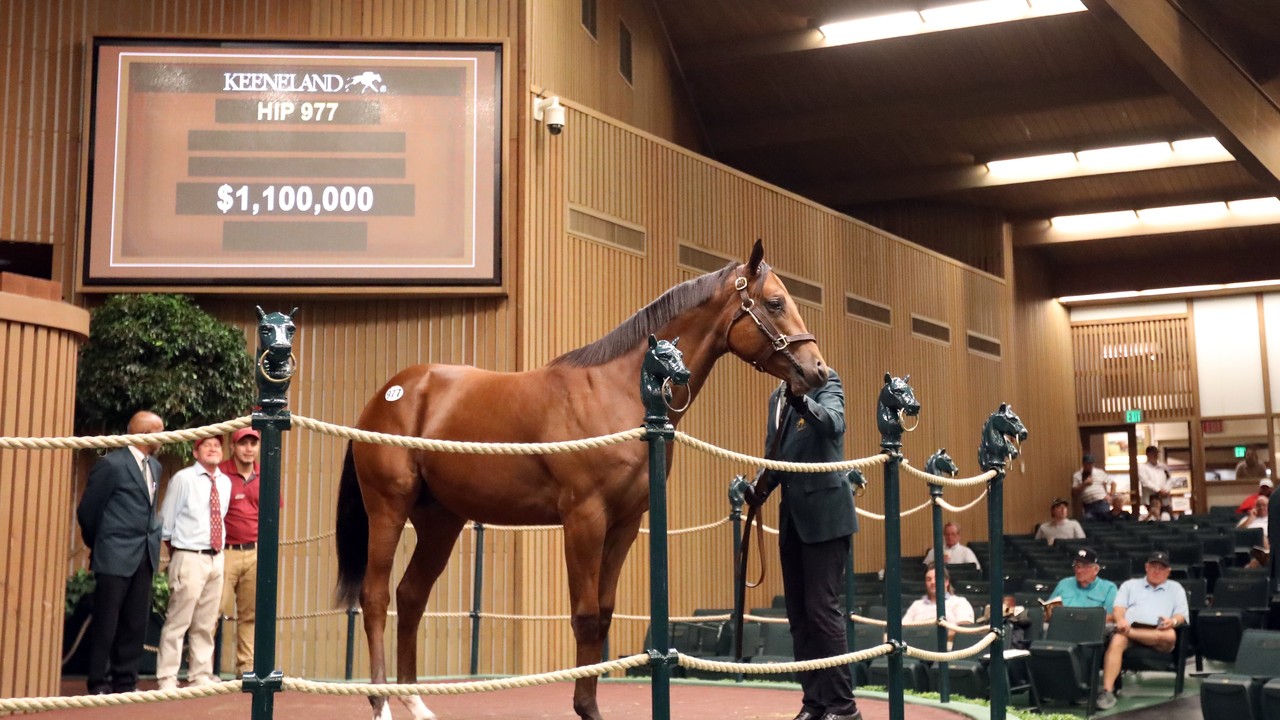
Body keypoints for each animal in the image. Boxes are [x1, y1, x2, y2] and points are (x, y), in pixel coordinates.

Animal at [335, 238, 824, 712]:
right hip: (388, 510)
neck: (616, 392)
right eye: (775, 303)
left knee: (411, 595)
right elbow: (586, 616)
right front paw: (585, 706)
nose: (817, 370)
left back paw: (415, 702)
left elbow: (603, 614)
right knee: (375, 598)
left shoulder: (625, 523)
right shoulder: (583, 519)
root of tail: (389, 395)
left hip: (441, 521)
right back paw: (380, 702)